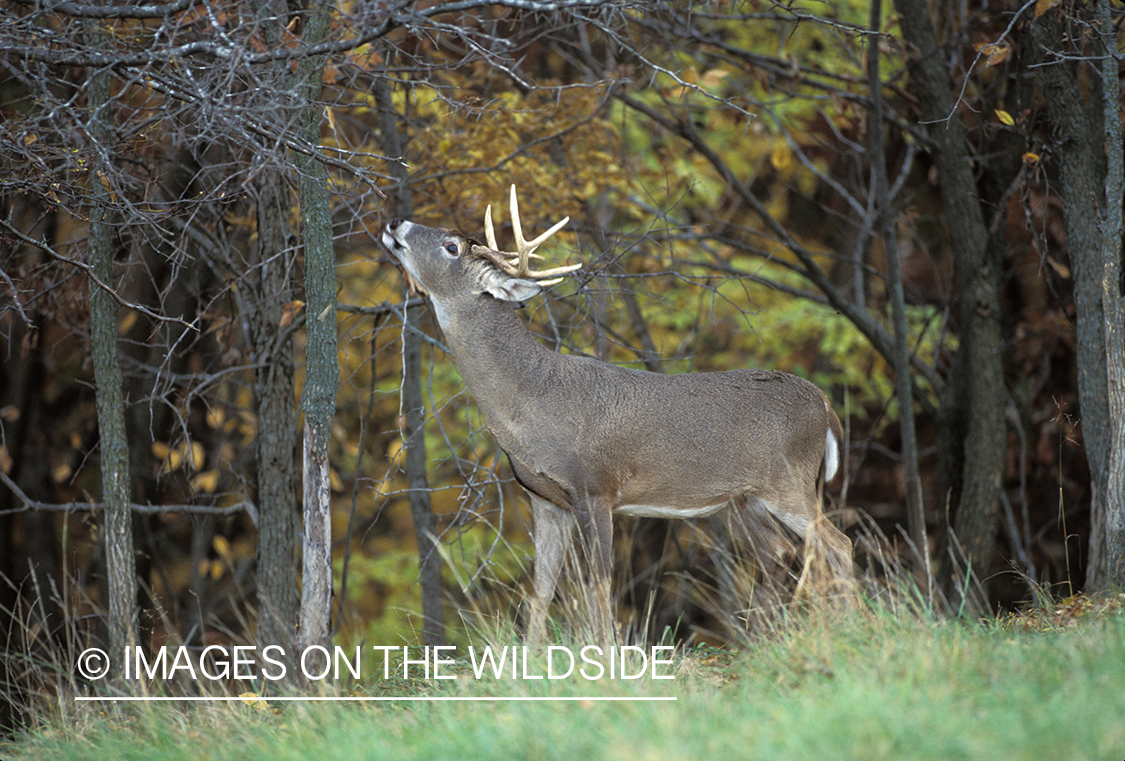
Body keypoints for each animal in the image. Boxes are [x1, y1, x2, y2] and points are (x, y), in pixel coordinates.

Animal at [382, 185, 855, 645]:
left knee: (838, 545)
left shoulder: (595, 487)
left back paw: (852, 629)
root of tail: (826, 407)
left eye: (451, 247)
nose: (394, 222)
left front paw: (605, 657)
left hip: (789, 481)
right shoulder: (545, 498)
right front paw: (530, 662)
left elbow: (599, 583)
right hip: (744, 498)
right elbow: (542, 590)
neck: (531, 400)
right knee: (779, 552)